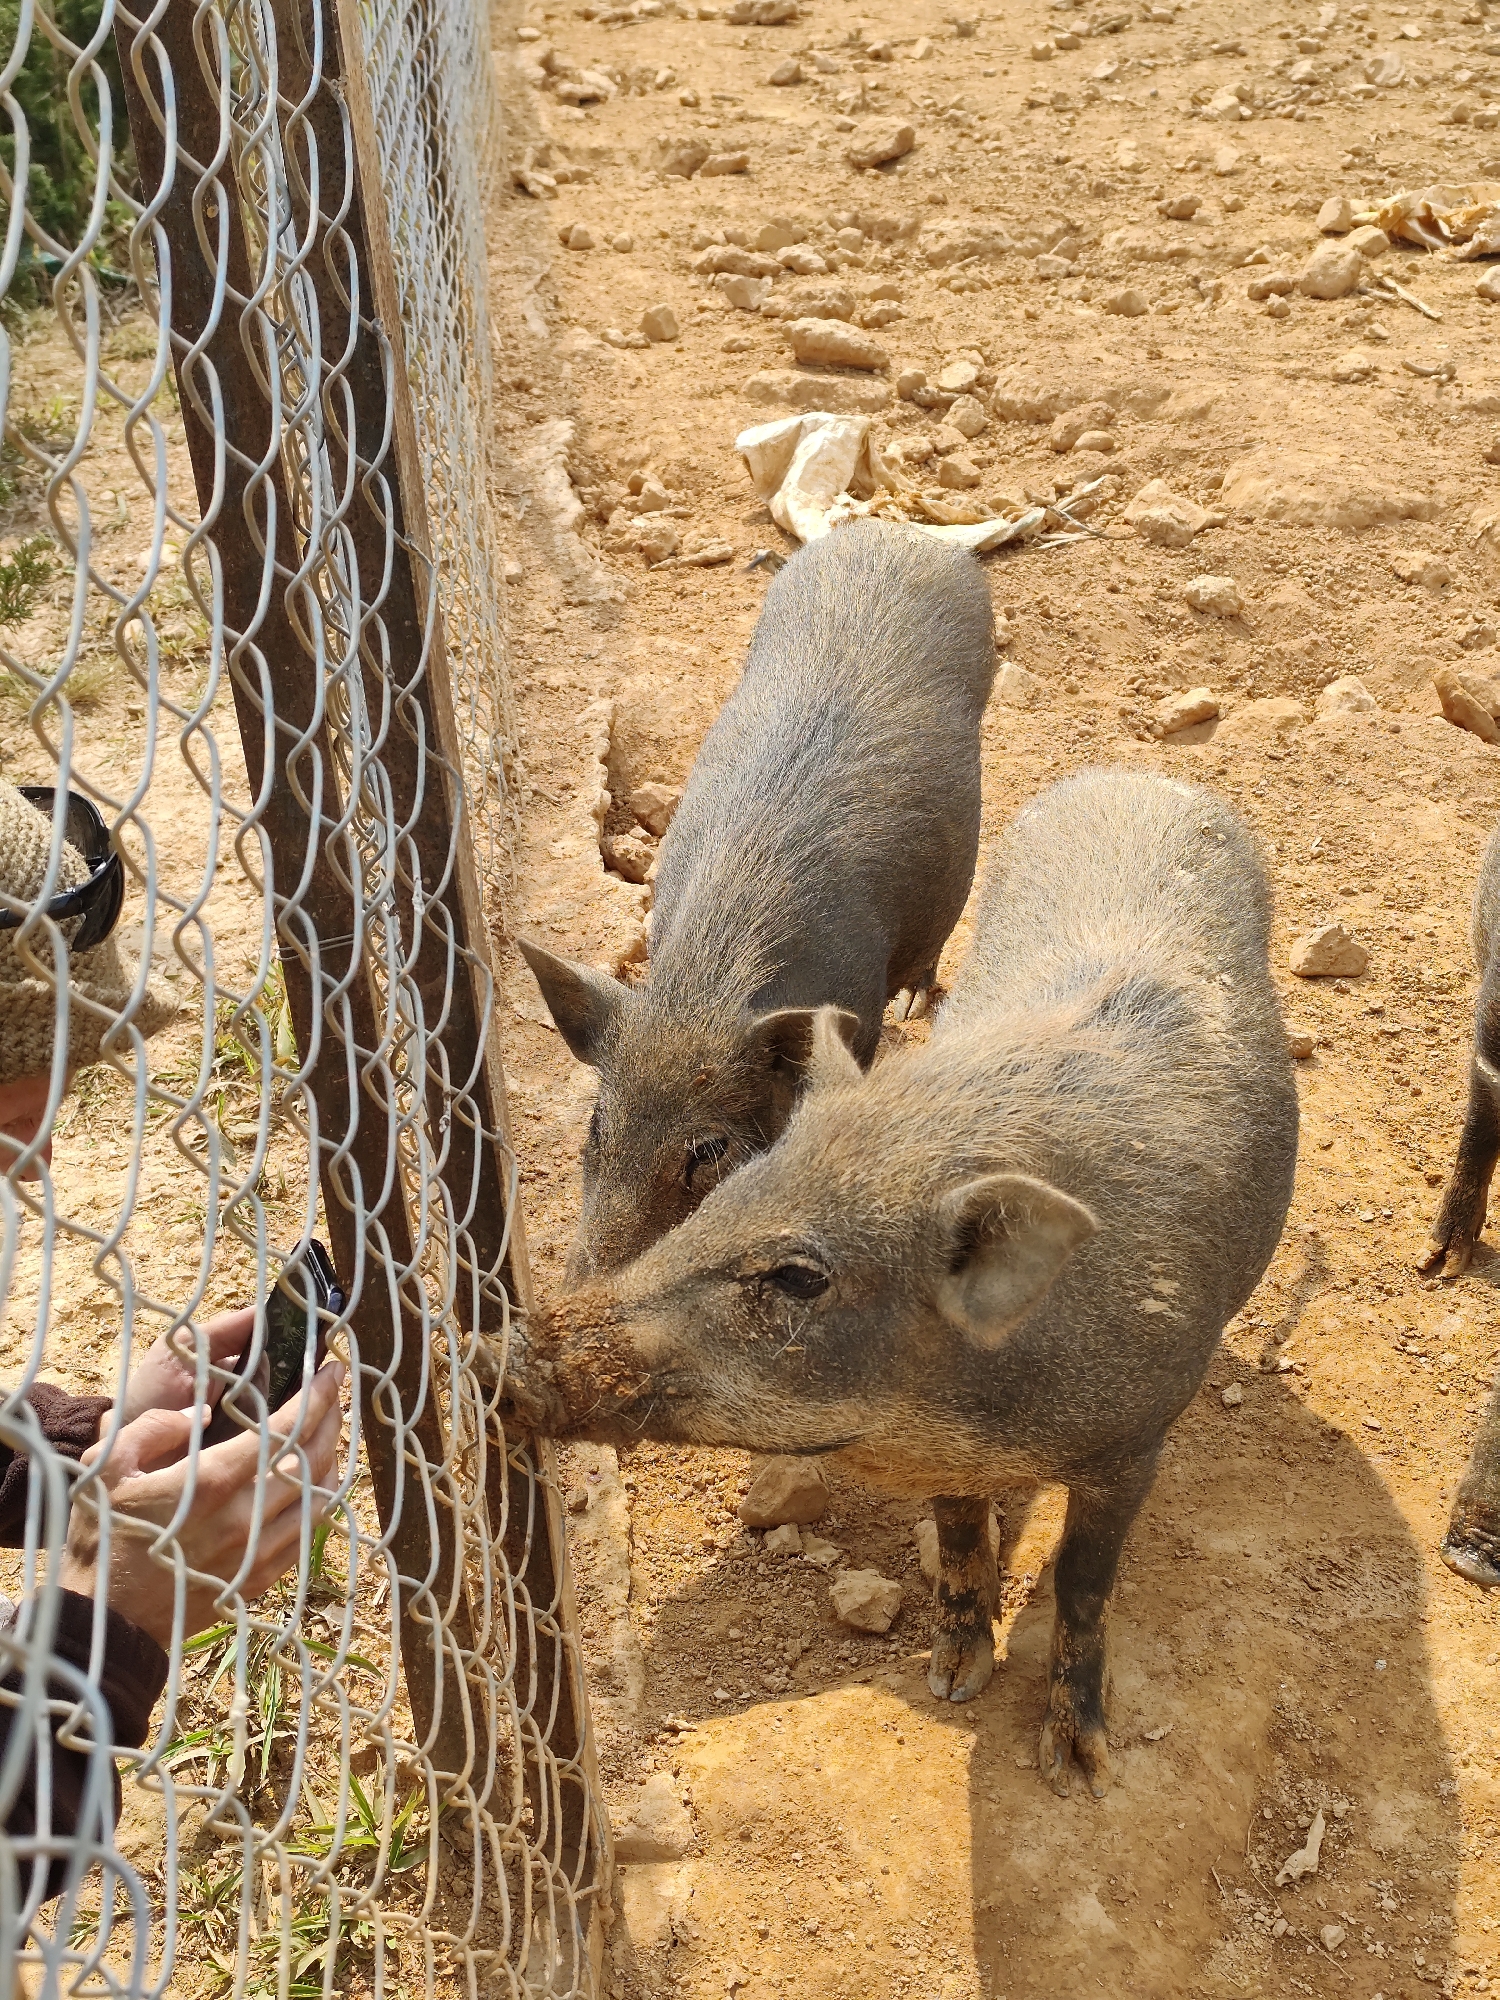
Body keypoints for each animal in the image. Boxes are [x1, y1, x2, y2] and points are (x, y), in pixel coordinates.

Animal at [501, 770, 1300, 1795]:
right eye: (742, 1185)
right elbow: (956, 1540)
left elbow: (1084, 1582)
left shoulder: (1136, 1439)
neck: (977, 1409)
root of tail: (1139, 778)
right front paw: (953, 1680)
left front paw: (1078, 1768)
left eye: (800, 1277)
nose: (504, 1351)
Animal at [518, 518, 995, 1279]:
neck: (702, 992)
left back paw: (919, 1004)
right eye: (597, 1126)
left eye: (708, 1152)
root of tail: (898, 532)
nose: (580, 1294)